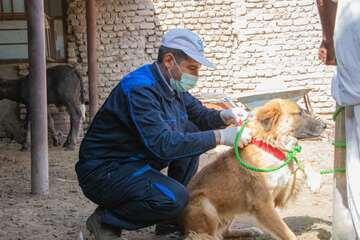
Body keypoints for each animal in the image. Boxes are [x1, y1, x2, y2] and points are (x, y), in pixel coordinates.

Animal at [180, 98, 326, 240]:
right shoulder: (264, 205)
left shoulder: (282, 191)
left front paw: (315, 180)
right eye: (299, 113)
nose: (325, 125)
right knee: (205, 235)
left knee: (224, 232)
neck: (270, 145)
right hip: (205, 205)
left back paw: (248, 231)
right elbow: (288, 233)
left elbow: (302, 162)